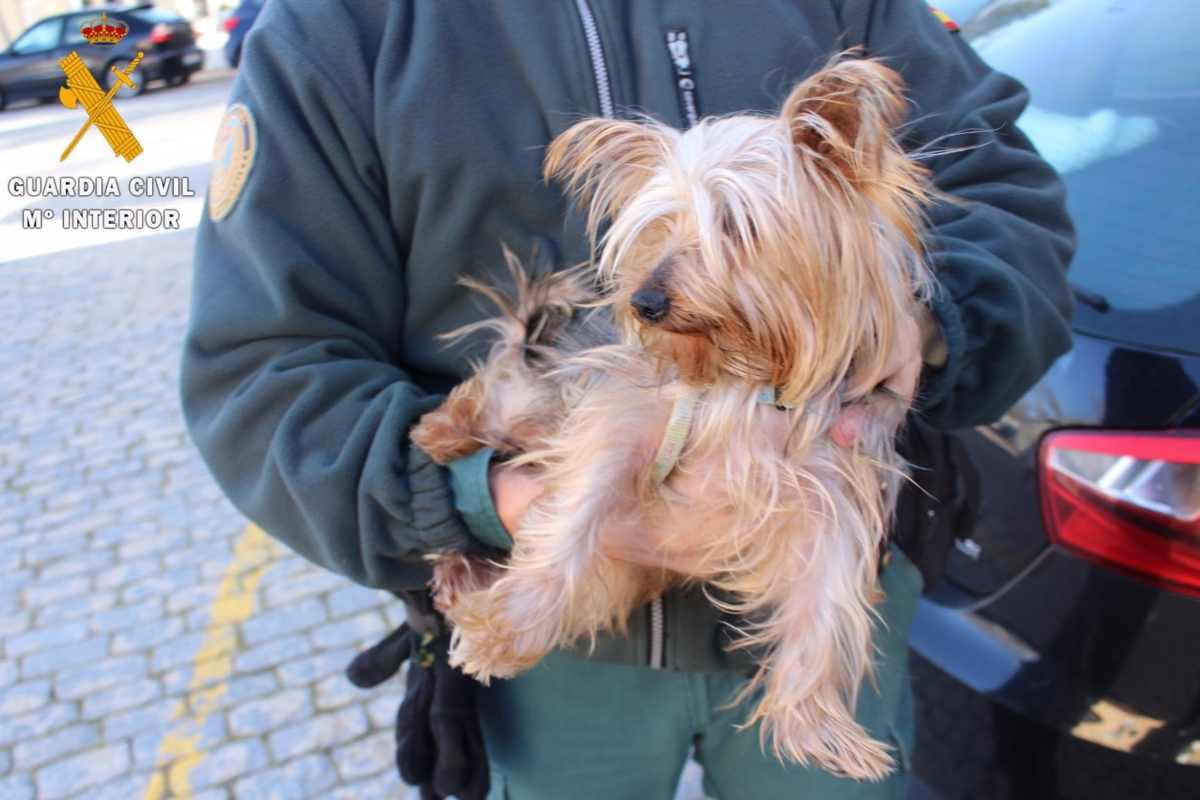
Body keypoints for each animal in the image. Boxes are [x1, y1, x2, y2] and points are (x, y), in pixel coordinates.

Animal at [412, 57, 936, 782]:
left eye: (735, 226)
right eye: (657, 228)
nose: (646, 301)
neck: (749, 381)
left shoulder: (835, 490)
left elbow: (825, 606)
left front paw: (815, 724)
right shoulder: (620, 424)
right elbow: (569, 524)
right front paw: (506, 632)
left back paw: (461, 577)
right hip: (541, 392)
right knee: (496, 385)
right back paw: (443, 435)